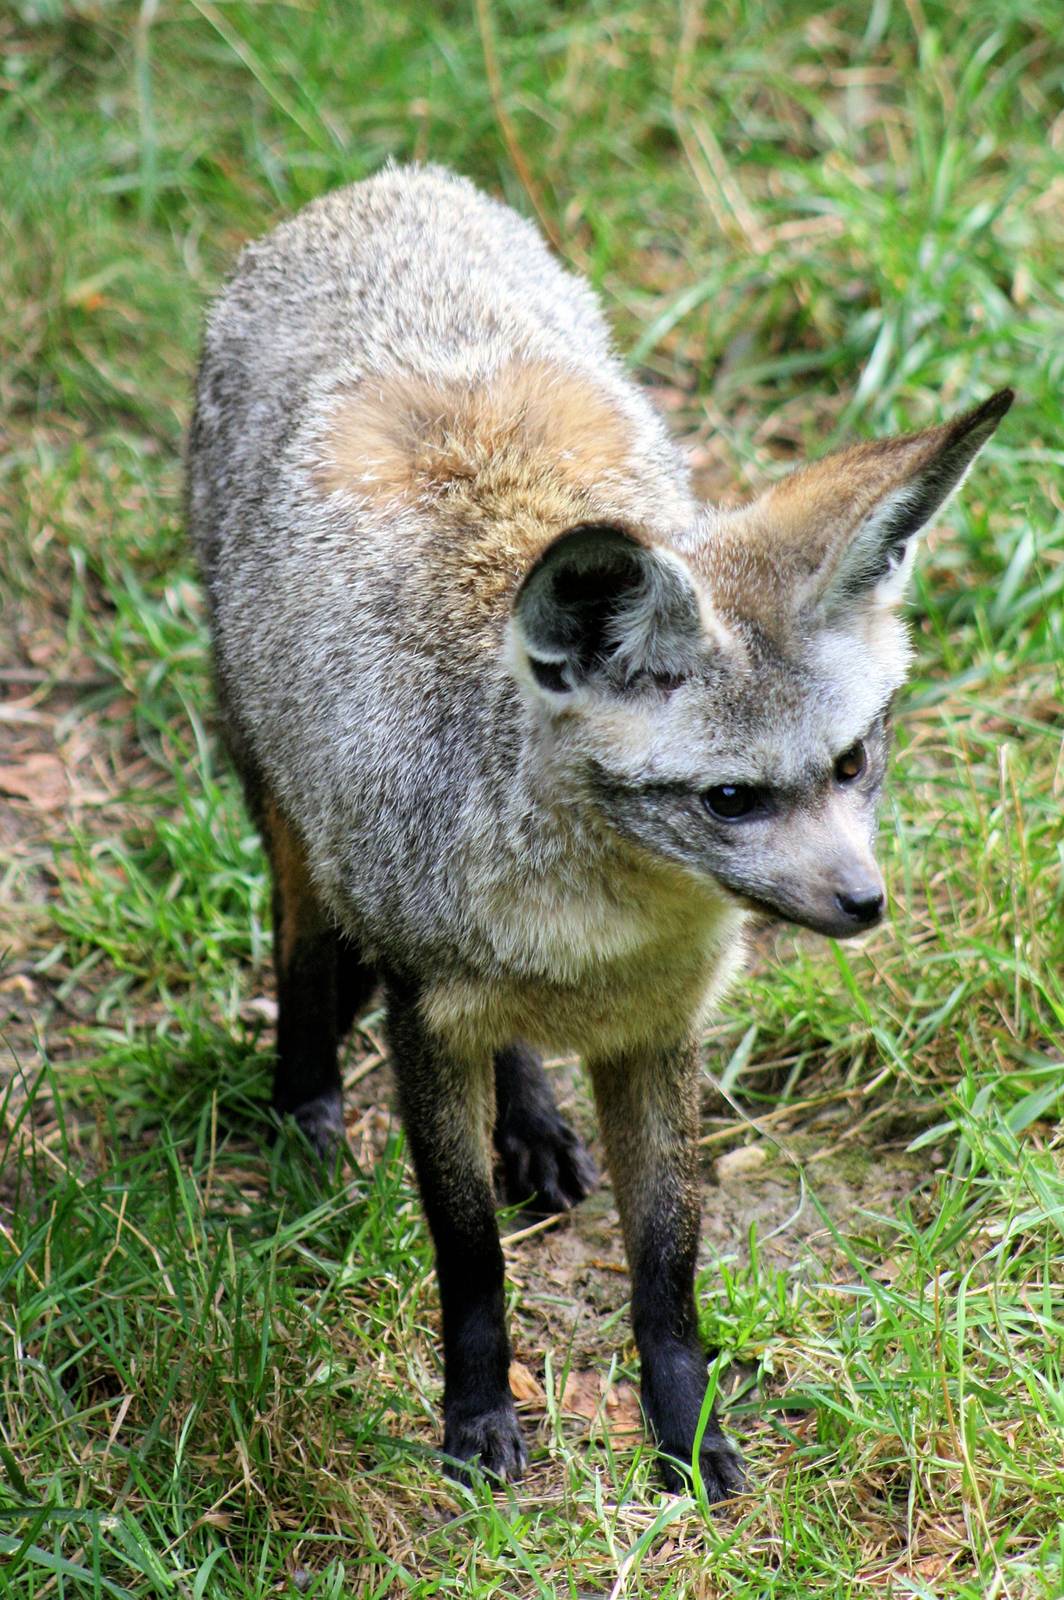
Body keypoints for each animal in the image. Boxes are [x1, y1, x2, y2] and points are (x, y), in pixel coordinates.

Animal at [187, 162, 1011, 1499]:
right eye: (729, 799)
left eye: (850, 761)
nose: (862, 903)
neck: (591, 936)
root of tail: (390, 181)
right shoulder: (427, 1013)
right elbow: (467, 1256)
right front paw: (476, 1415)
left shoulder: (658, 1029)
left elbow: (666, 1266)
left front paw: (684, 1427)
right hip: (289, 810)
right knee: (304, 945)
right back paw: (304, 1099)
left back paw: (528, 1119)